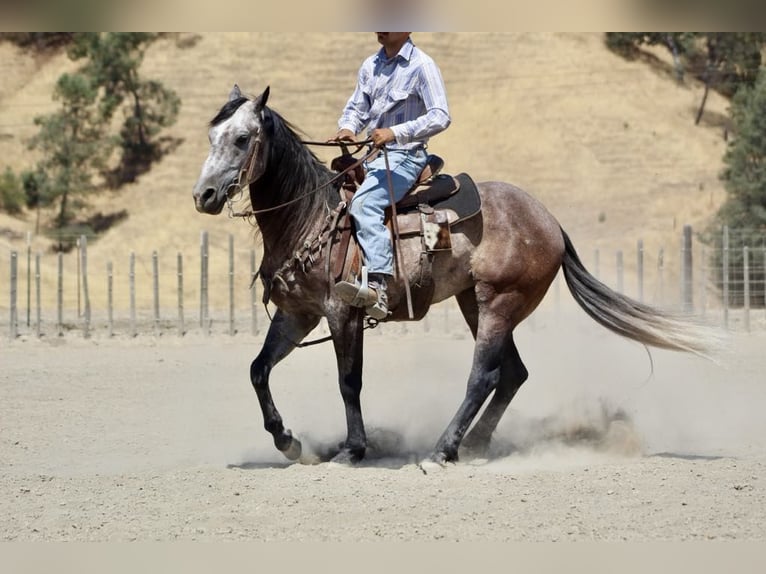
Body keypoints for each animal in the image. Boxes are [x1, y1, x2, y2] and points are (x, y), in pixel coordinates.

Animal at [190, 85, 712, 468]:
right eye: (212, 135)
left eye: (242, 139)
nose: (205, 195)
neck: (310, 216)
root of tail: (549, 221)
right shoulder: (297, 314)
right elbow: (258, 370)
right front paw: (289, 442)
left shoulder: (343, 312)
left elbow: (349, 381)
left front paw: (353, 450)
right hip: (474, 304)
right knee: (513, 374)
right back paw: (475, 446)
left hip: (499, 303)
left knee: (483, 376)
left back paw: (444, 449)